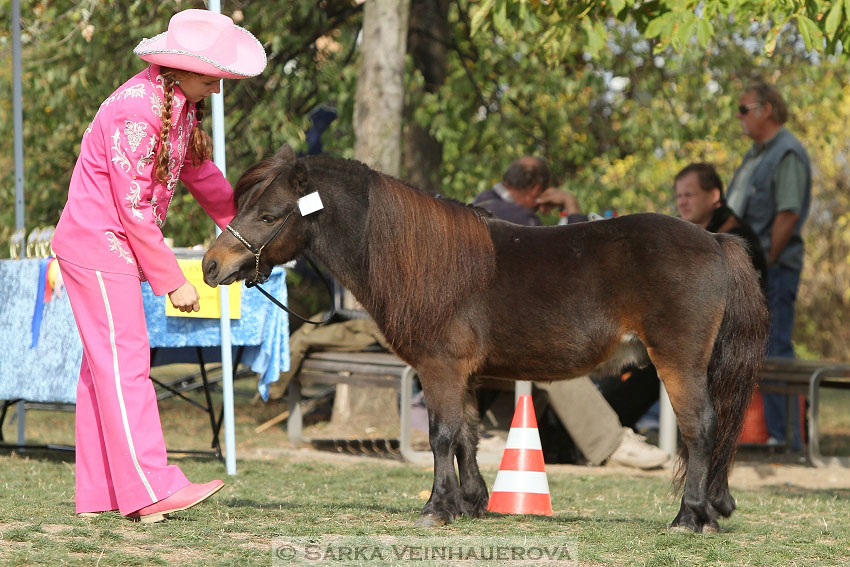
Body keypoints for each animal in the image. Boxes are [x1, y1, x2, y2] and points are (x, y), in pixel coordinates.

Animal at [204, 145, 768, 532]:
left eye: (269, 215)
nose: (211, 265)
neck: (421, 257)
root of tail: (714, 239)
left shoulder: (440, 368)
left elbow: (441, 435)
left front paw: (437, 508)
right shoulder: (467, 374)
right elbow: (468, 436)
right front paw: (472, 503)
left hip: (679, 363)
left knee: (701, 430)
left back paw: (689, 517)